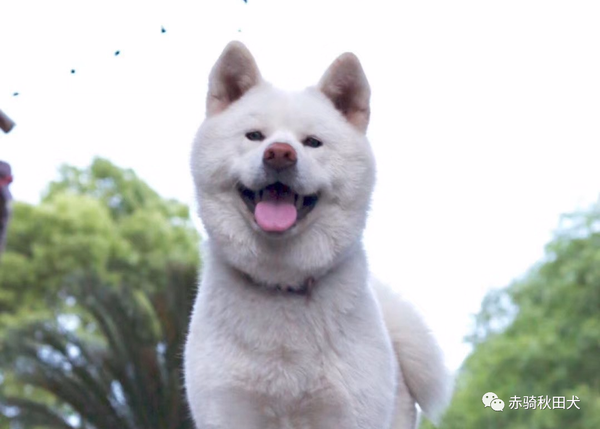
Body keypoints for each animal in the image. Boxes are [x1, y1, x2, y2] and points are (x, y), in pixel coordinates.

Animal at [185, 41, 452, 428]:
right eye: (255, 136)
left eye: (312, 142)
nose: (279, 154)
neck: (282, 286)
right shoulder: (227, 411)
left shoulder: (350, 414)